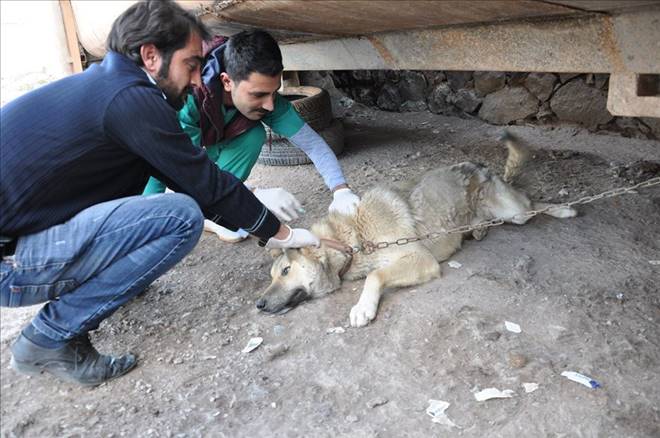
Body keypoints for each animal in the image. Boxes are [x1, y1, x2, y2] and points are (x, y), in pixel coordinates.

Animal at [255, 132, 576, 326]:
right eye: (272, 276)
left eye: (286, 271)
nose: (258, 304)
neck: (353, 238)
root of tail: (480, 166)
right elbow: (375, 273)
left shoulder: (421, 259)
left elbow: (375, 275)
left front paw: (363, 307)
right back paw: (478, 230)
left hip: (516, 212)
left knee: (534, 202)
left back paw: (564, 208)